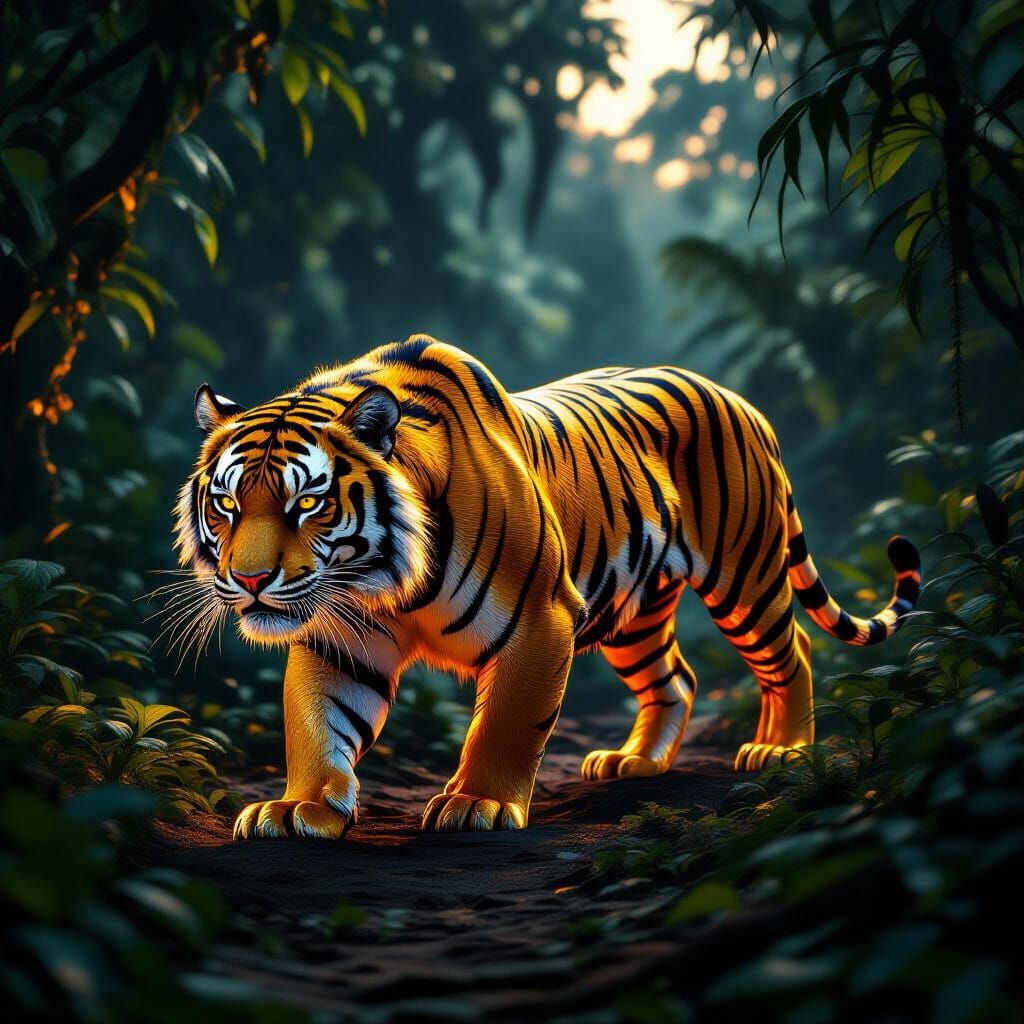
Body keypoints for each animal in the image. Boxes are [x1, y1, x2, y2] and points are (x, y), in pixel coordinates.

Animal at [173, 335, 921, 839]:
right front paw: (300, 807)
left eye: (308, 503)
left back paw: (782, 749)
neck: (381, 577)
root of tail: (744, 403)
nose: (250, 580)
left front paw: (476, 804)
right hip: (634, 615)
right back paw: (633, 762)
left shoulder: (539, 619)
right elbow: (317, 722)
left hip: (745, 575)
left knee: (791, 653)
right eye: (228, 504)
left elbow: (507, 724)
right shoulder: (339, 635)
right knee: (675, 678)